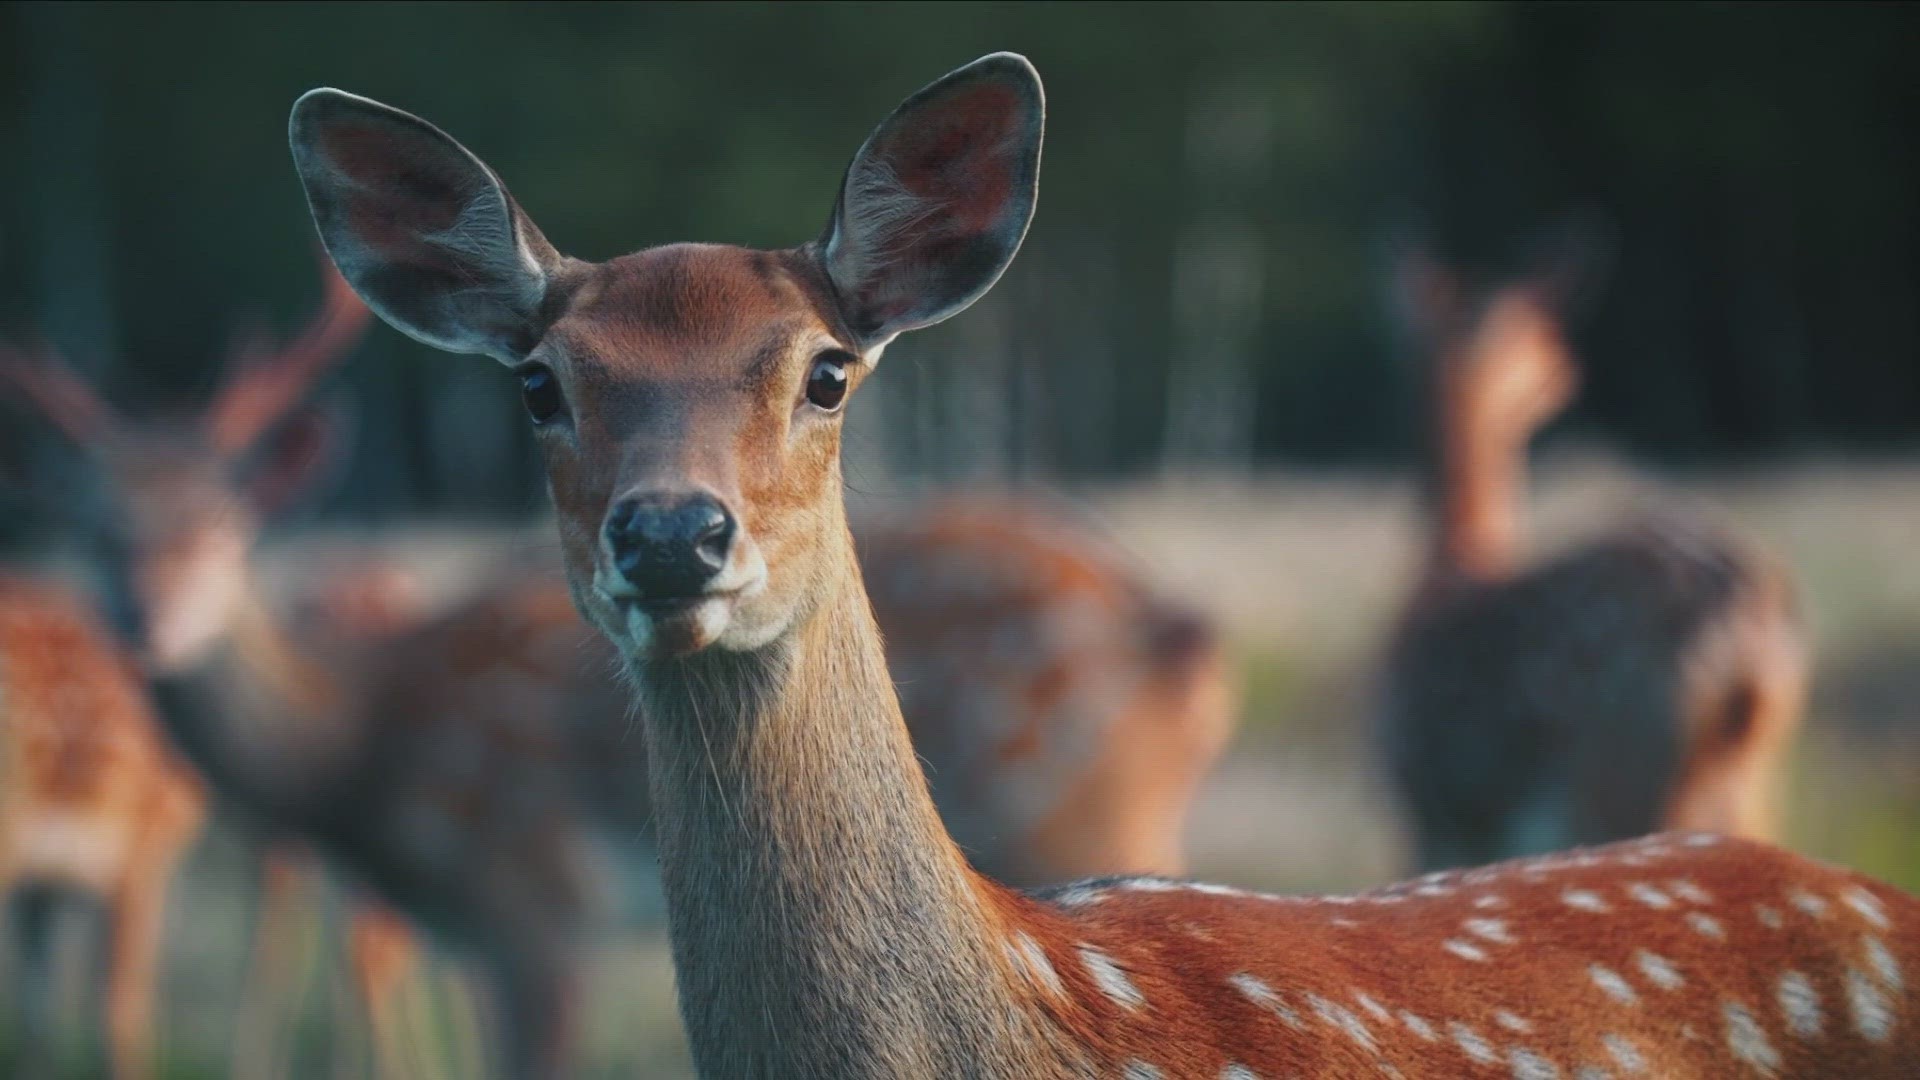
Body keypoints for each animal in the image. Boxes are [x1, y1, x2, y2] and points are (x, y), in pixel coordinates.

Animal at [1376, 245, 1810, 873]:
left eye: (1545, 342)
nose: (1567, 373)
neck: (1446, 571)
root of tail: (1750, 625)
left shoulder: (1435, 810)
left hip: (1623, 761)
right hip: (1748, 773)